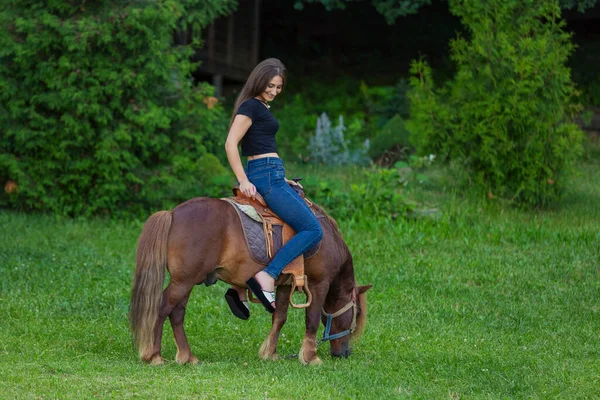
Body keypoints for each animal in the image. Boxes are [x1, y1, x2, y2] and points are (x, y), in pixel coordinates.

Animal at [128, 197, 370, 366]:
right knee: (162, 308)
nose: (344, 353)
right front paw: (310, 357)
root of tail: (172, 213)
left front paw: (270, 353)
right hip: (183, 282)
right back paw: (155, 355)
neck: (328, 239)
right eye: (356, 313)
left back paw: (188, 356)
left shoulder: (284, 285)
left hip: (186, 281)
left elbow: (279, 318)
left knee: (177, 313)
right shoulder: (319, 284)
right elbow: (311, 320)